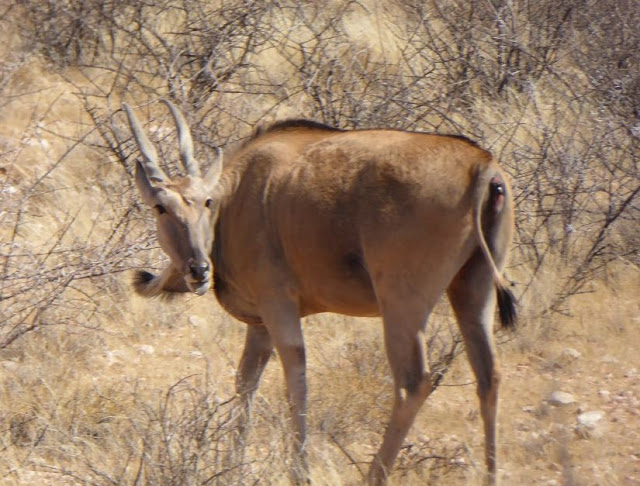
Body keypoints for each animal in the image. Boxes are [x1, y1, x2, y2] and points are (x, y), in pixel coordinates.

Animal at [122, 100, 516, 484]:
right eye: (161, 207)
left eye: (204, 202)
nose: (199, 270)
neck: (237, 198)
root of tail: (481, 165)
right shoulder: (260, 325)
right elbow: (246, 381)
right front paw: (232, 464)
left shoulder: (277, 305)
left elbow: (295, 378)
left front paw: (299, 473)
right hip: (472, 292)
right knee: (490, 376)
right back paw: (491, 476)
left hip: (402, 305)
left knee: (413, 383)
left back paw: (373, 476)